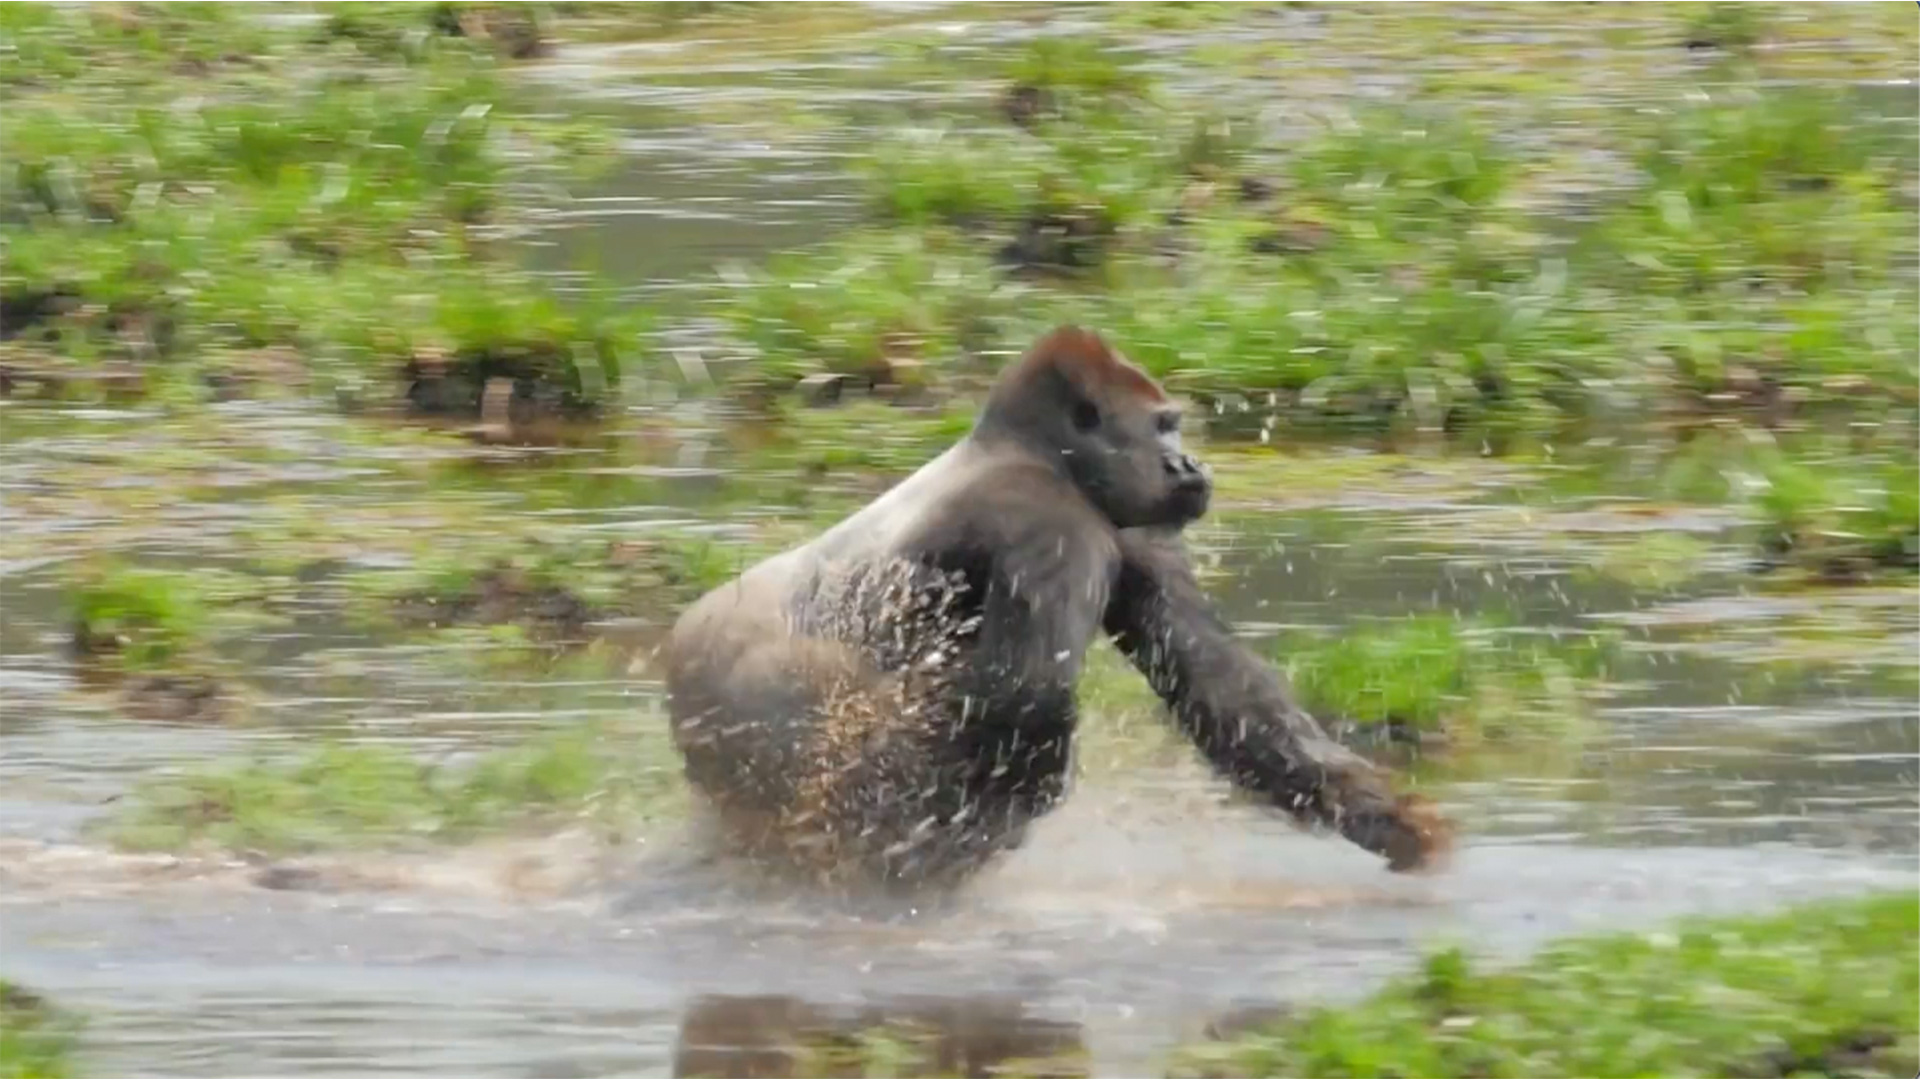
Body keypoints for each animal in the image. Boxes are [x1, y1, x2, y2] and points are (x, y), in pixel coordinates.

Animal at [668, 322, 1443, 887]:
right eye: (1163, 426)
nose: (1190, 465)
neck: (1033, 449)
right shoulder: (1049, 523)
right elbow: (1024, 697)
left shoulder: (1131, 529)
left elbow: (1218, 683)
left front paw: (1379, 815)